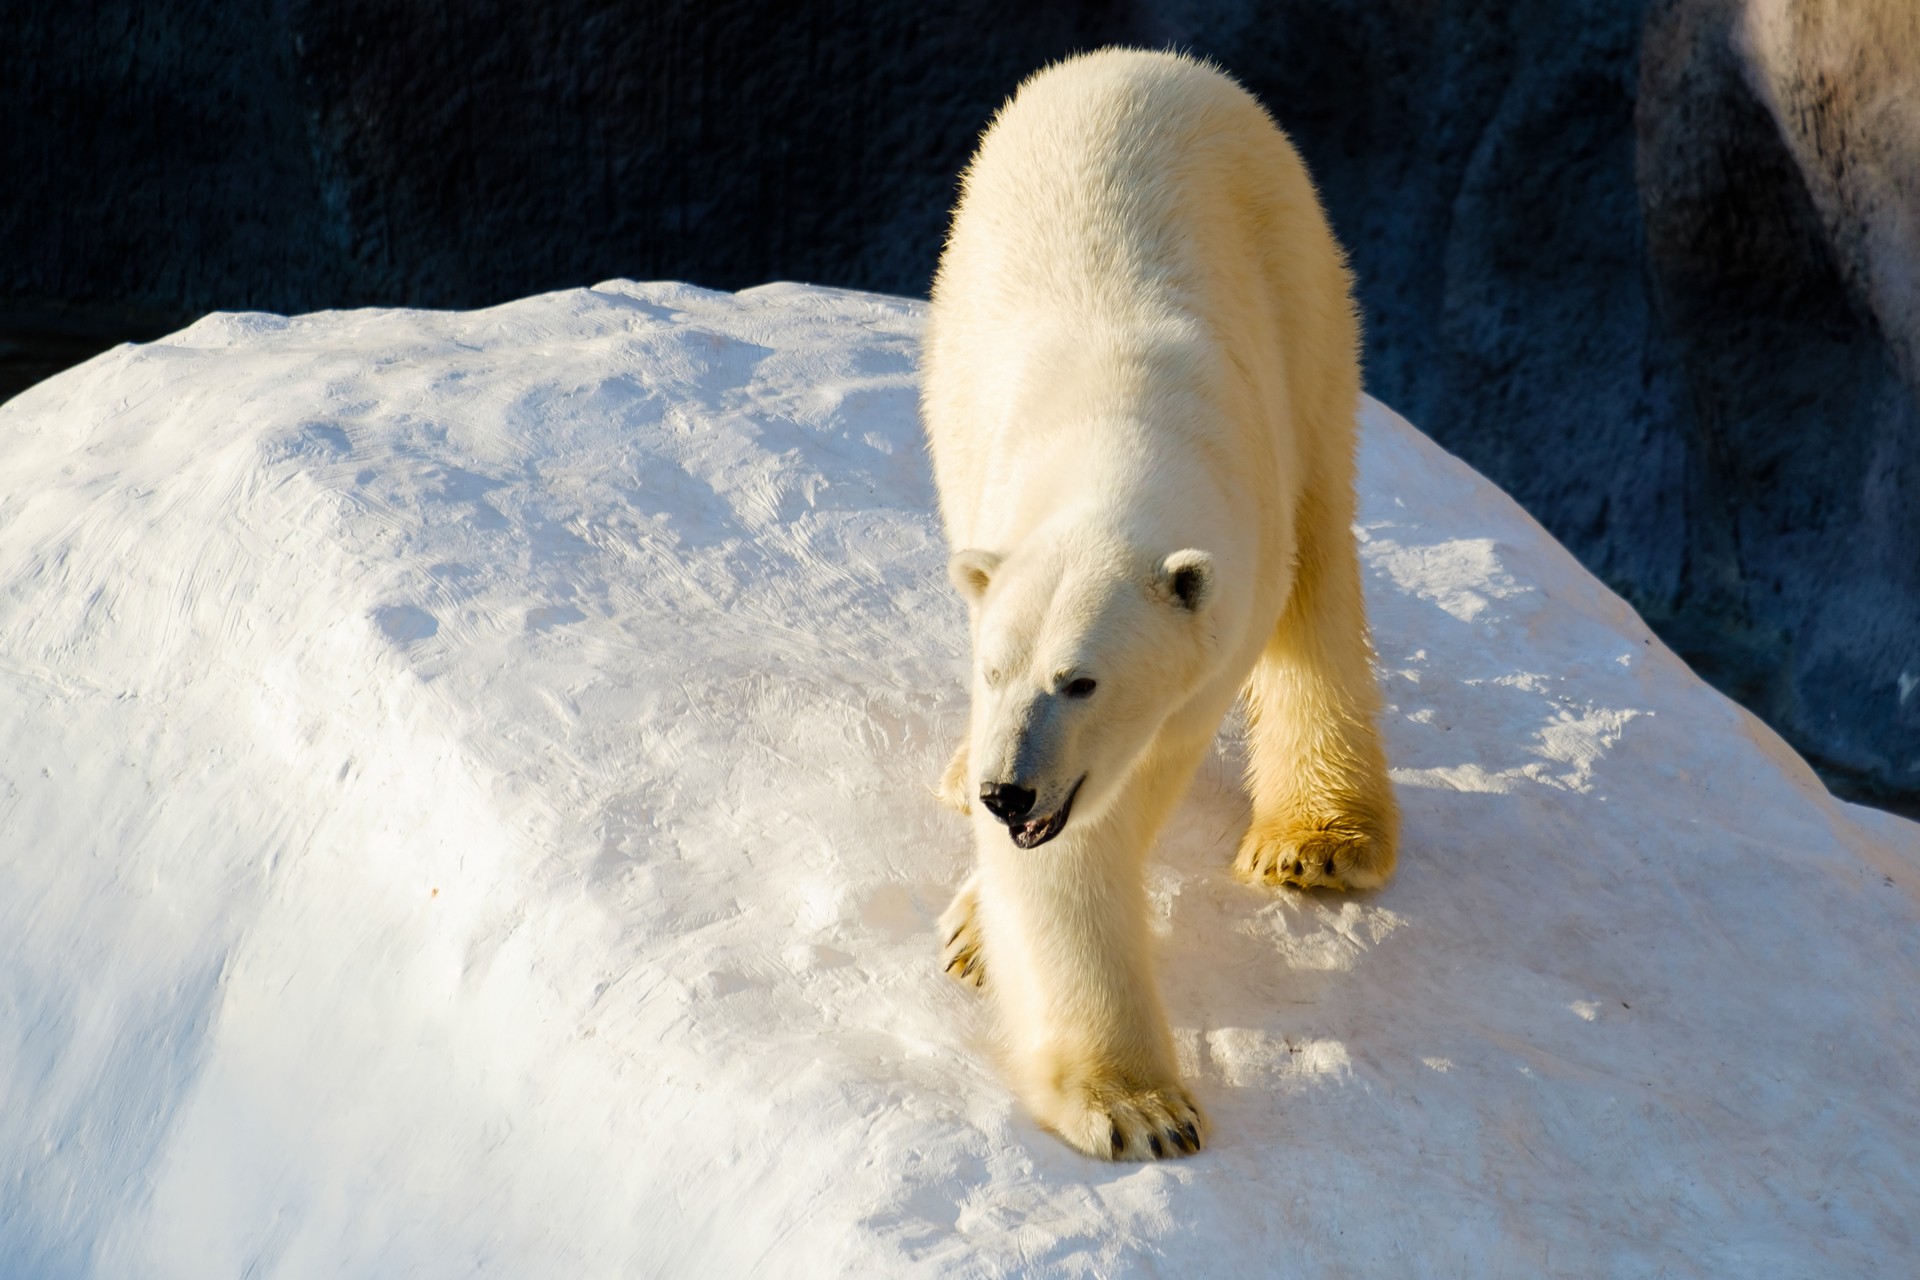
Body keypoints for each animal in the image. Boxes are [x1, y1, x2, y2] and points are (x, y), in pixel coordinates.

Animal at [917, 50, 1397, 1159]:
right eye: (994, 668)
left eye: (1081, 680)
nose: (1007, 793)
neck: (1120, 428)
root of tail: (1142, 64)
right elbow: (1070, 855)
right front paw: (1137, 1106)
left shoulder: (1220, 607)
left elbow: (1104, 815)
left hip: (1304, 286)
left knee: (1324, 558)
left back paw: (1320, 838)